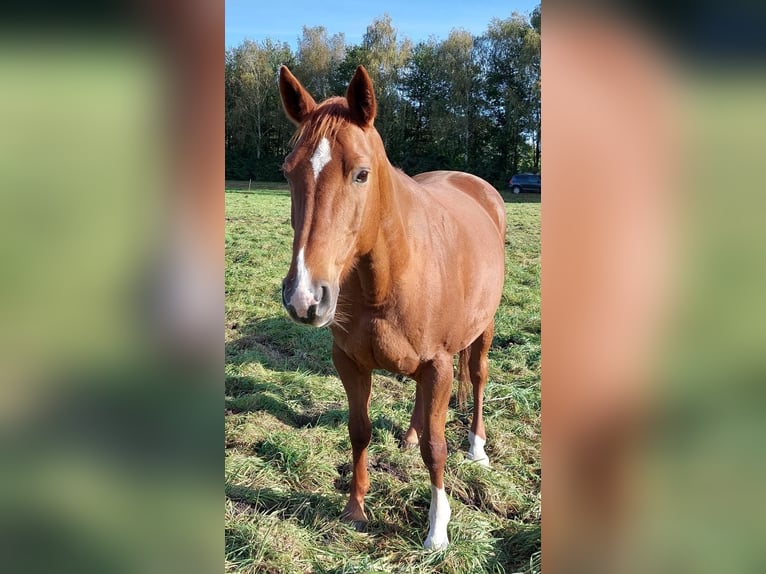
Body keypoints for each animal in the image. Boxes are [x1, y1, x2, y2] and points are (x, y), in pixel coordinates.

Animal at [280, 65, 508, 552]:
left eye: (361, 174)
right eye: (288, 172)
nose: (304, 297)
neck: (386, 277)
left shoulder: (440, 365)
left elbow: (437, 449)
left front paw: (437, 531)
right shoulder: (349, 362)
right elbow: (359, 429)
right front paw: (354, 508)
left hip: (483, 329)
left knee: (478, 378)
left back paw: (476, 448)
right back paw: (409, 434)